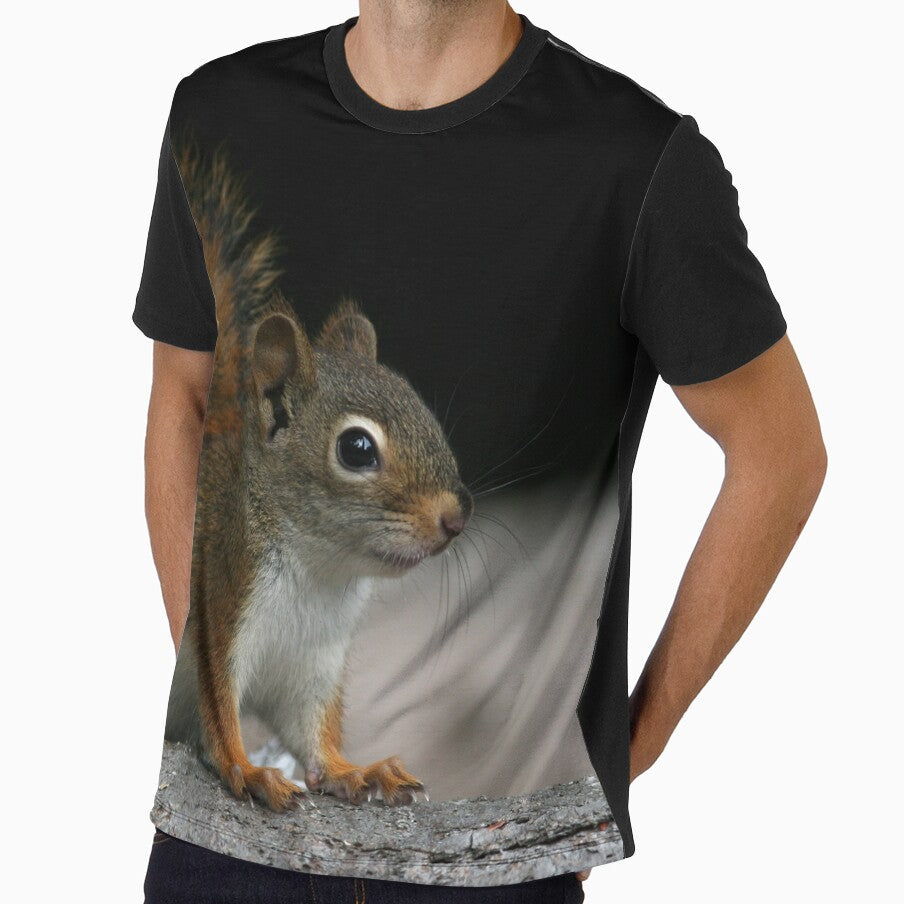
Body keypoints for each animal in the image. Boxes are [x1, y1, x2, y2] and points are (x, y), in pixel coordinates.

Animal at [164, 141, 473, 811]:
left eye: (422, 407)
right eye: (357, 449)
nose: (457, 517)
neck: (319, 569)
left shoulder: (314, 657)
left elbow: (310, 727)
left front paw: (353, 770)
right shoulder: (223, 592)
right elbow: (220, 707)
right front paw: (246, 769)